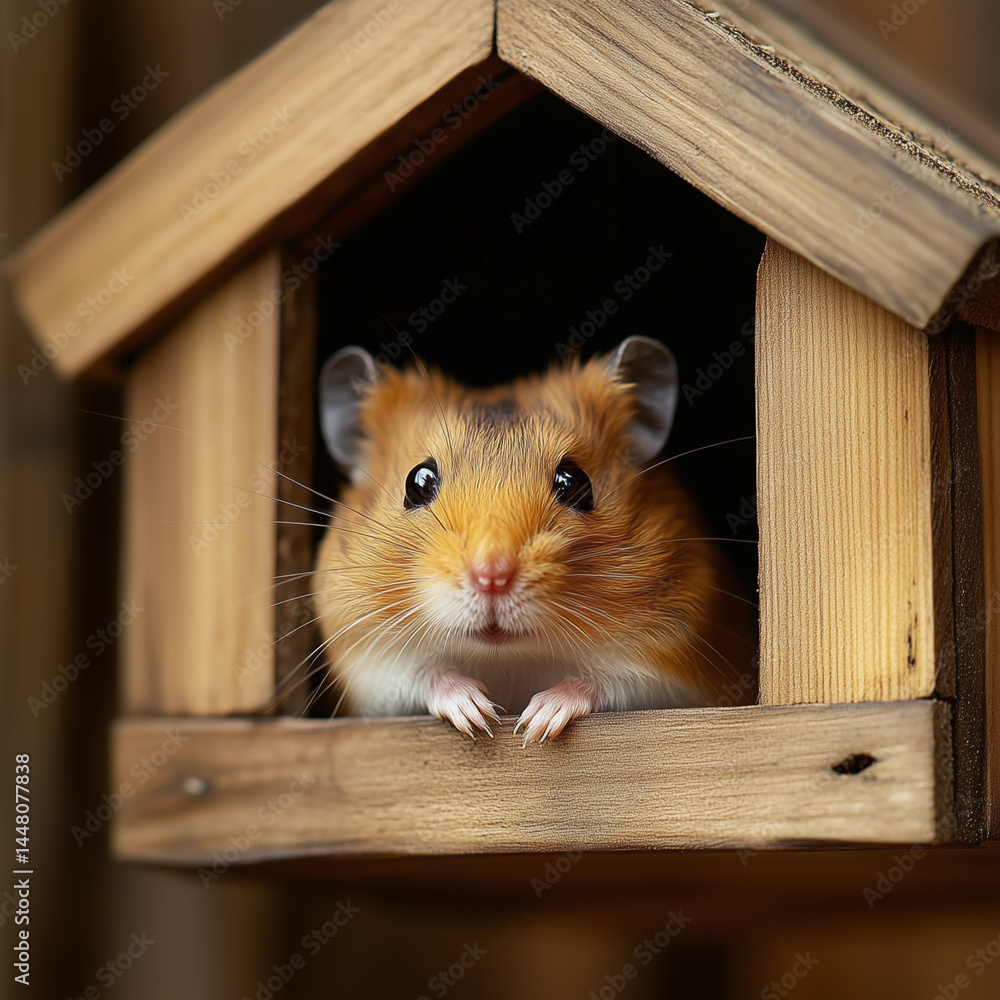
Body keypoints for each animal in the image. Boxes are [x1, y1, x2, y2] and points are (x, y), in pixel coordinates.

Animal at [311, 336, 755, 744]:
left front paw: (535, 722)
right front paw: (479, 715)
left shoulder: (670, 663)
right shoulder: (370, 666)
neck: (509, 658)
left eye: (575, 482)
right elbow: (422, 676)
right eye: (417, 482)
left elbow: (606, 682)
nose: (491, 579)